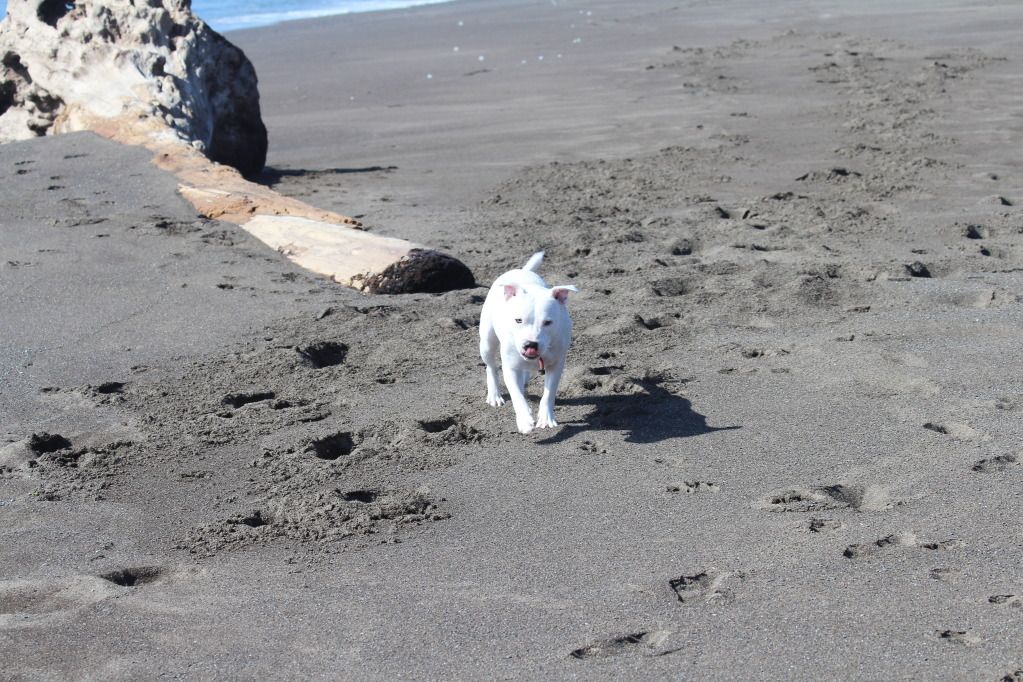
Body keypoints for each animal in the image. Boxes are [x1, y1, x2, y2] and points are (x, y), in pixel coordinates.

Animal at [476, 250, 576, 431]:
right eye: (518, 320)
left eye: (548, 322)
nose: (530, 344)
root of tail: (520, 271)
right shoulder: (510, 367)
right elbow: (516, 395)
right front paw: (524, 420)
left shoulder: (556, 365)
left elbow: (549, 393)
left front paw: (546, 418)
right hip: (487, 342)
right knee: (491, 367)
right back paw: (494, 394)